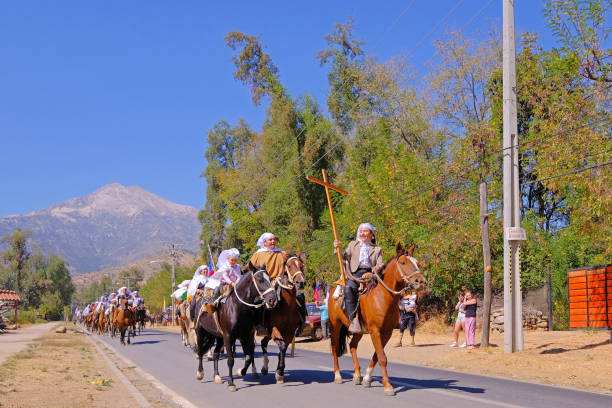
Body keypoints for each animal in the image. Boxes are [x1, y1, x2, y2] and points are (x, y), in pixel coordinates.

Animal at [258, 253, 306, 384]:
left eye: (301, 265)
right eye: (289, 266)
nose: (301, 282)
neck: (286, 306)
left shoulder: (289, 332)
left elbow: (283, 349)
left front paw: (280, 372)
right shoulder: (274, 328)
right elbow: (282, 347)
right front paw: (279, 372)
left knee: (263, 342)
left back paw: (265, 367)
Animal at [330, 242, 426, 396]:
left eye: (416, 262)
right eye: (403, 262)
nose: (420, 281)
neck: (383, 297)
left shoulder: (386, 332)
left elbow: (377, 356)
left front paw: (367, 379)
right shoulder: (375, 331)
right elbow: (382, 358)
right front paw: (388, 386)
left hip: (359, 331)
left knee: (352, 346)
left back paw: (357, 375)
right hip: (335, 326)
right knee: (334, 348)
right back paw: (338, 375)